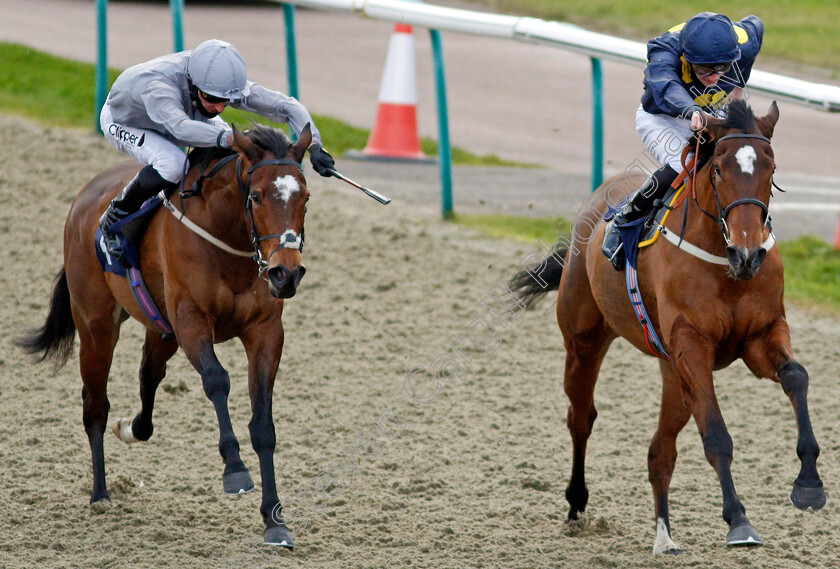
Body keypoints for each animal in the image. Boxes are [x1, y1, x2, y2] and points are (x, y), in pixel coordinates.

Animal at [18, 123, 314, 544]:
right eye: (256, 196)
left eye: (305, 197)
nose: (285, 273)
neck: (227, 237)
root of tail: (86, 195)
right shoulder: (191, 320)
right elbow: (217, 380)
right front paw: (235, 469)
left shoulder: (265, 333)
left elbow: (263, 425)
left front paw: (274, 520)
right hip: (96, 325)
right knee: (95, 404)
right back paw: (100, 493)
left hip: (161, 329)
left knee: (148, 376)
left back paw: (132, 429)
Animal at [512, 100, 828, 552]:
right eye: (718, 170)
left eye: (771, 168)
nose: (748, 253)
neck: (724, 262)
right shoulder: (692, 346)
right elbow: (715, 433)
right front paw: (739, 520)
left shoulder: (759, 335)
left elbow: (797, 377)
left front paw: (809, 484)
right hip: (584, 340)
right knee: (581, 416)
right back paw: (576, 502)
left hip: (672, 374)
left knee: (659, 451)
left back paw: (664, 535)